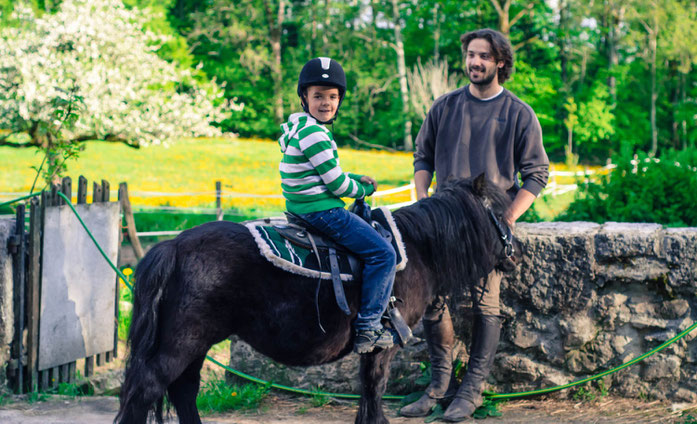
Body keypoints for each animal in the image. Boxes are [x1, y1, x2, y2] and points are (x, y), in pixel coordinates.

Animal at [115, 175, 516, 424]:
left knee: (183, 390)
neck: (413, 247)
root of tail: (174, 246)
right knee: (147, 388)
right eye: (498, 212)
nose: (512, 256)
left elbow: (368, 390)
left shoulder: (371, 348)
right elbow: (376, 389)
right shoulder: (384, 343)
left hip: (195, 344)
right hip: (181, 342)